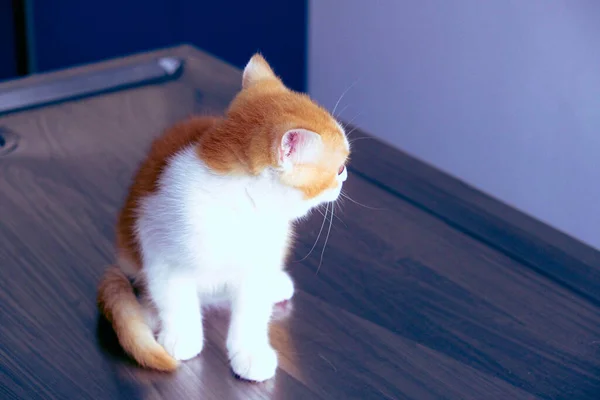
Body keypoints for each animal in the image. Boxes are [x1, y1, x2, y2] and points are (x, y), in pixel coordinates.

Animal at [97, 52, 352, 382]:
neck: (242, 207)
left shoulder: (259, 260)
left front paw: (250, 352)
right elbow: (174, 295)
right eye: (339, 168)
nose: (345, 177)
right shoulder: (156, 241)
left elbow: (252, 310)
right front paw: (181, 335)